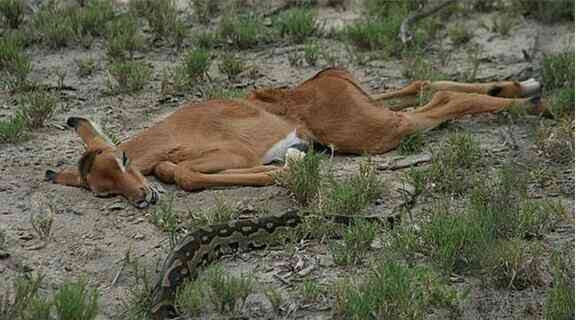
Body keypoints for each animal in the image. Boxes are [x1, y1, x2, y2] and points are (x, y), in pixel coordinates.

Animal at [46, 68, 544, 208]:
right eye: (102, 191)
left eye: (122, 159)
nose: (141, 199)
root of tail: (328, 77)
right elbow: (179, 172)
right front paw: (294, 160)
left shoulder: (226, 153)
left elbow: (182, 173)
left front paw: (288, 166)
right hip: (379, 116)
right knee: (425, 86)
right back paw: (526, 86)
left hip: (379, 132)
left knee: (443, 100)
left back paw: (537, 104)